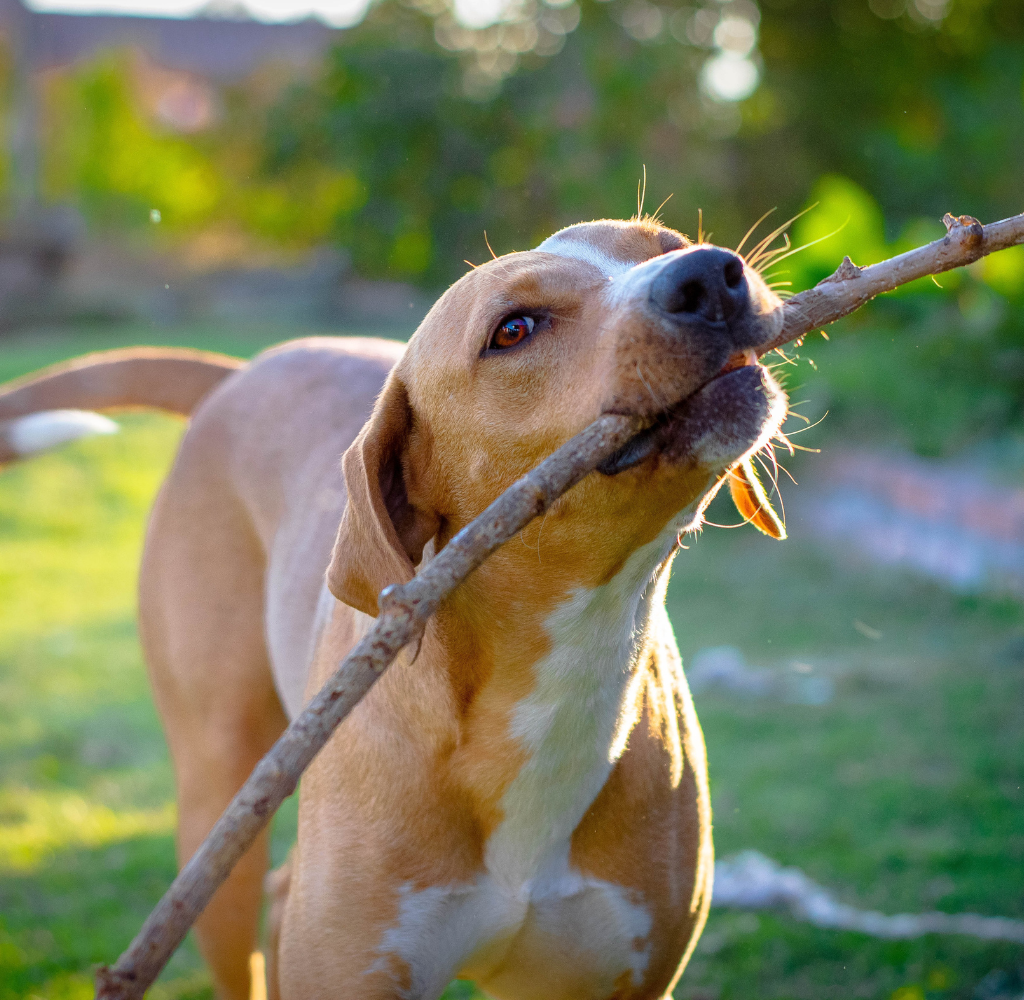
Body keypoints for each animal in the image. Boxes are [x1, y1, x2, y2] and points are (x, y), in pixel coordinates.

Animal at [0, 220, 786, 998]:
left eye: (666, 243)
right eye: (514, 329)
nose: (708, 275)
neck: (557, 674)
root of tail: (243, 372)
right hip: (218, 808)